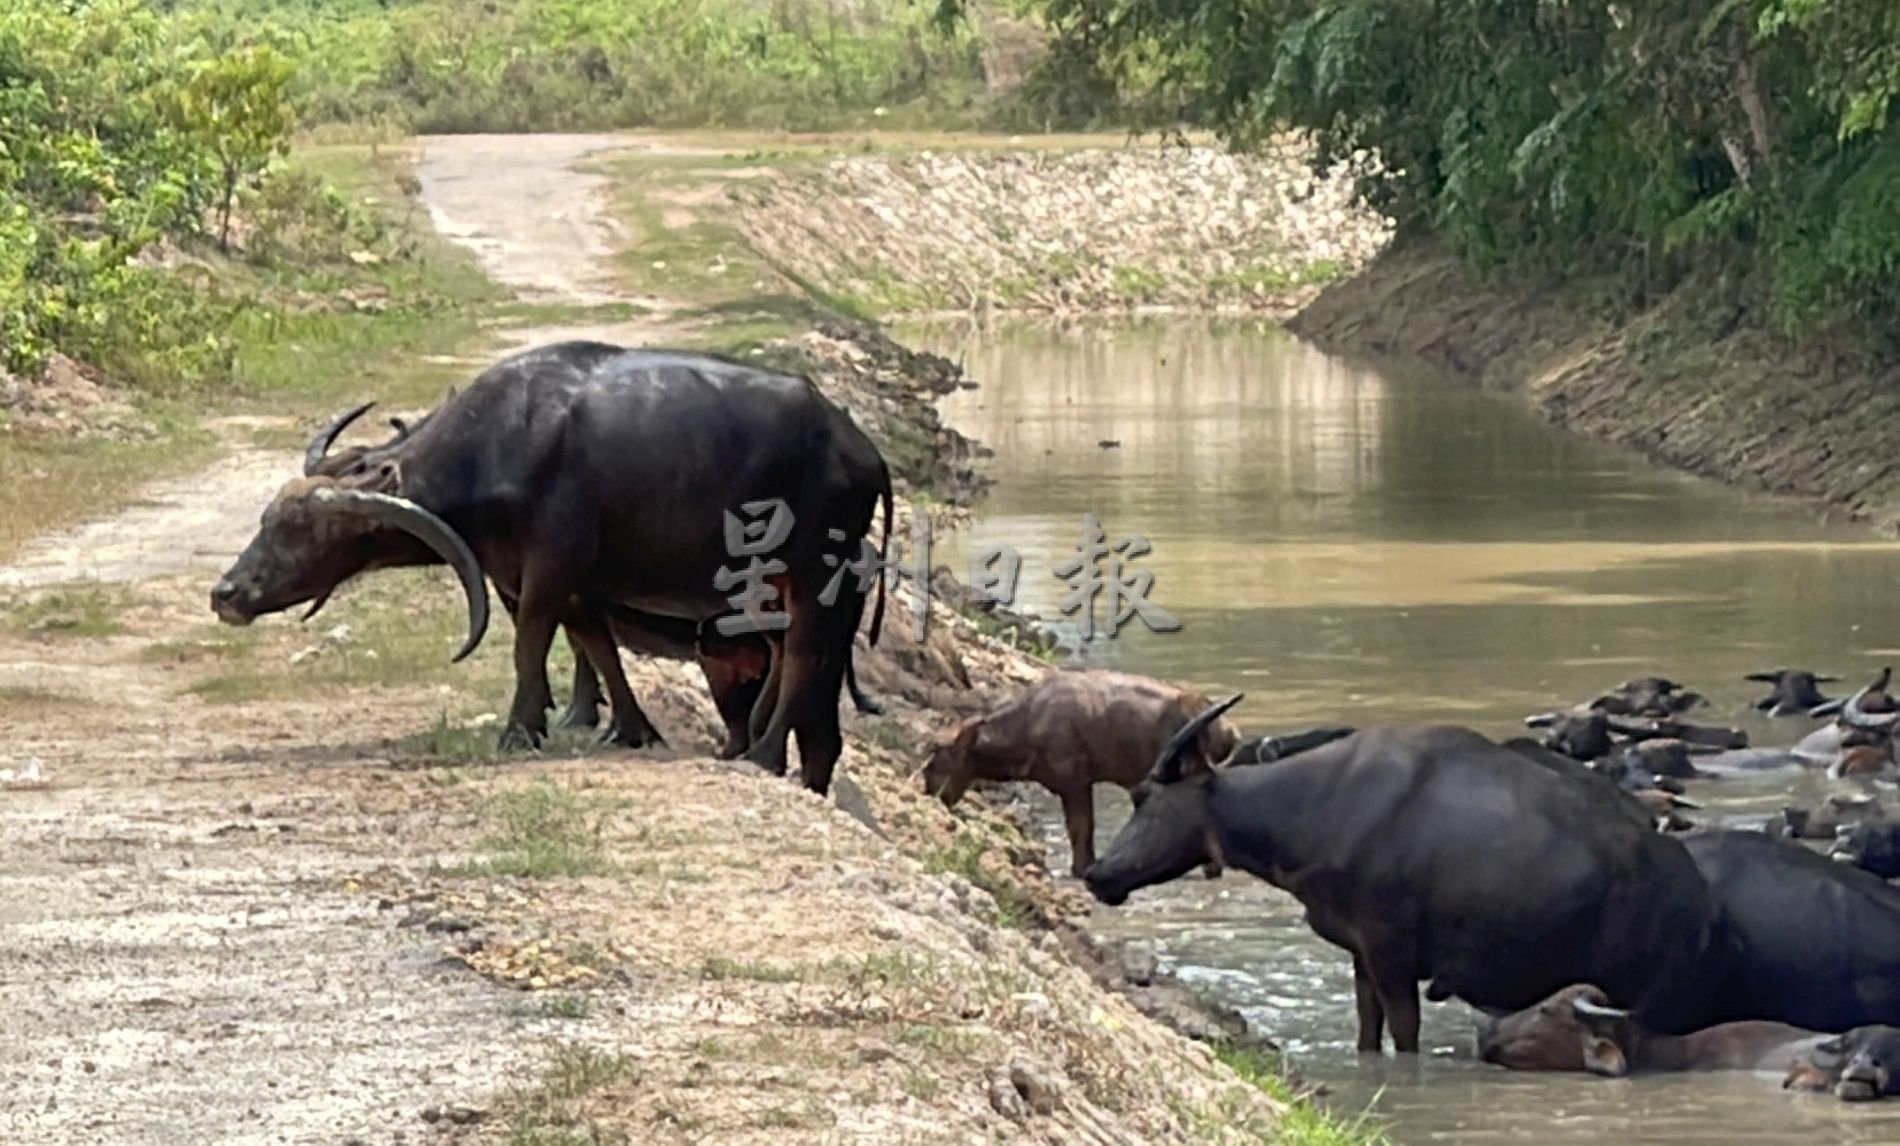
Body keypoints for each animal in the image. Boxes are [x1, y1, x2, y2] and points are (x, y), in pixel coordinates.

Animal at [211, 338, 893, 798]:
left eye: (301, 529)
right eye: (268, 519)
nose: (226, 593)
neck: (502, 444)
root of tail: (863, 451)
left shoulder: (549, 571)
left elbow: (532, 642)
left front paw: (519, 731)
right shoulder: (548, 579)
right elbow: (594, 645)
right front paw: (624, 727)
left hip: (814, 577)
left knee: (801, 657)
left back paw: (762, 753)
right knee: (814, 704)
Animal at [919, 672, 1246, 878]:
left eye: (938, 755)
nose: (929, 789)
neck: (1022, 743)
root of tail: (1228, 732)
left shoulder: (1074, 780)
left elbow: (1080, 827)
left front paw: (1081, 869)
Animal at [1086, 695, 1748, 1056]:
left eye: (1147, 797)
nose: (1098, 874)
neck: (1315, 808)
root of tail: (1702, 903)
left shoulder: (1393, 954)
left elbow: (1405, 1034)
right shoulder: (1360, 953)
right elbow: (1367, 1030)